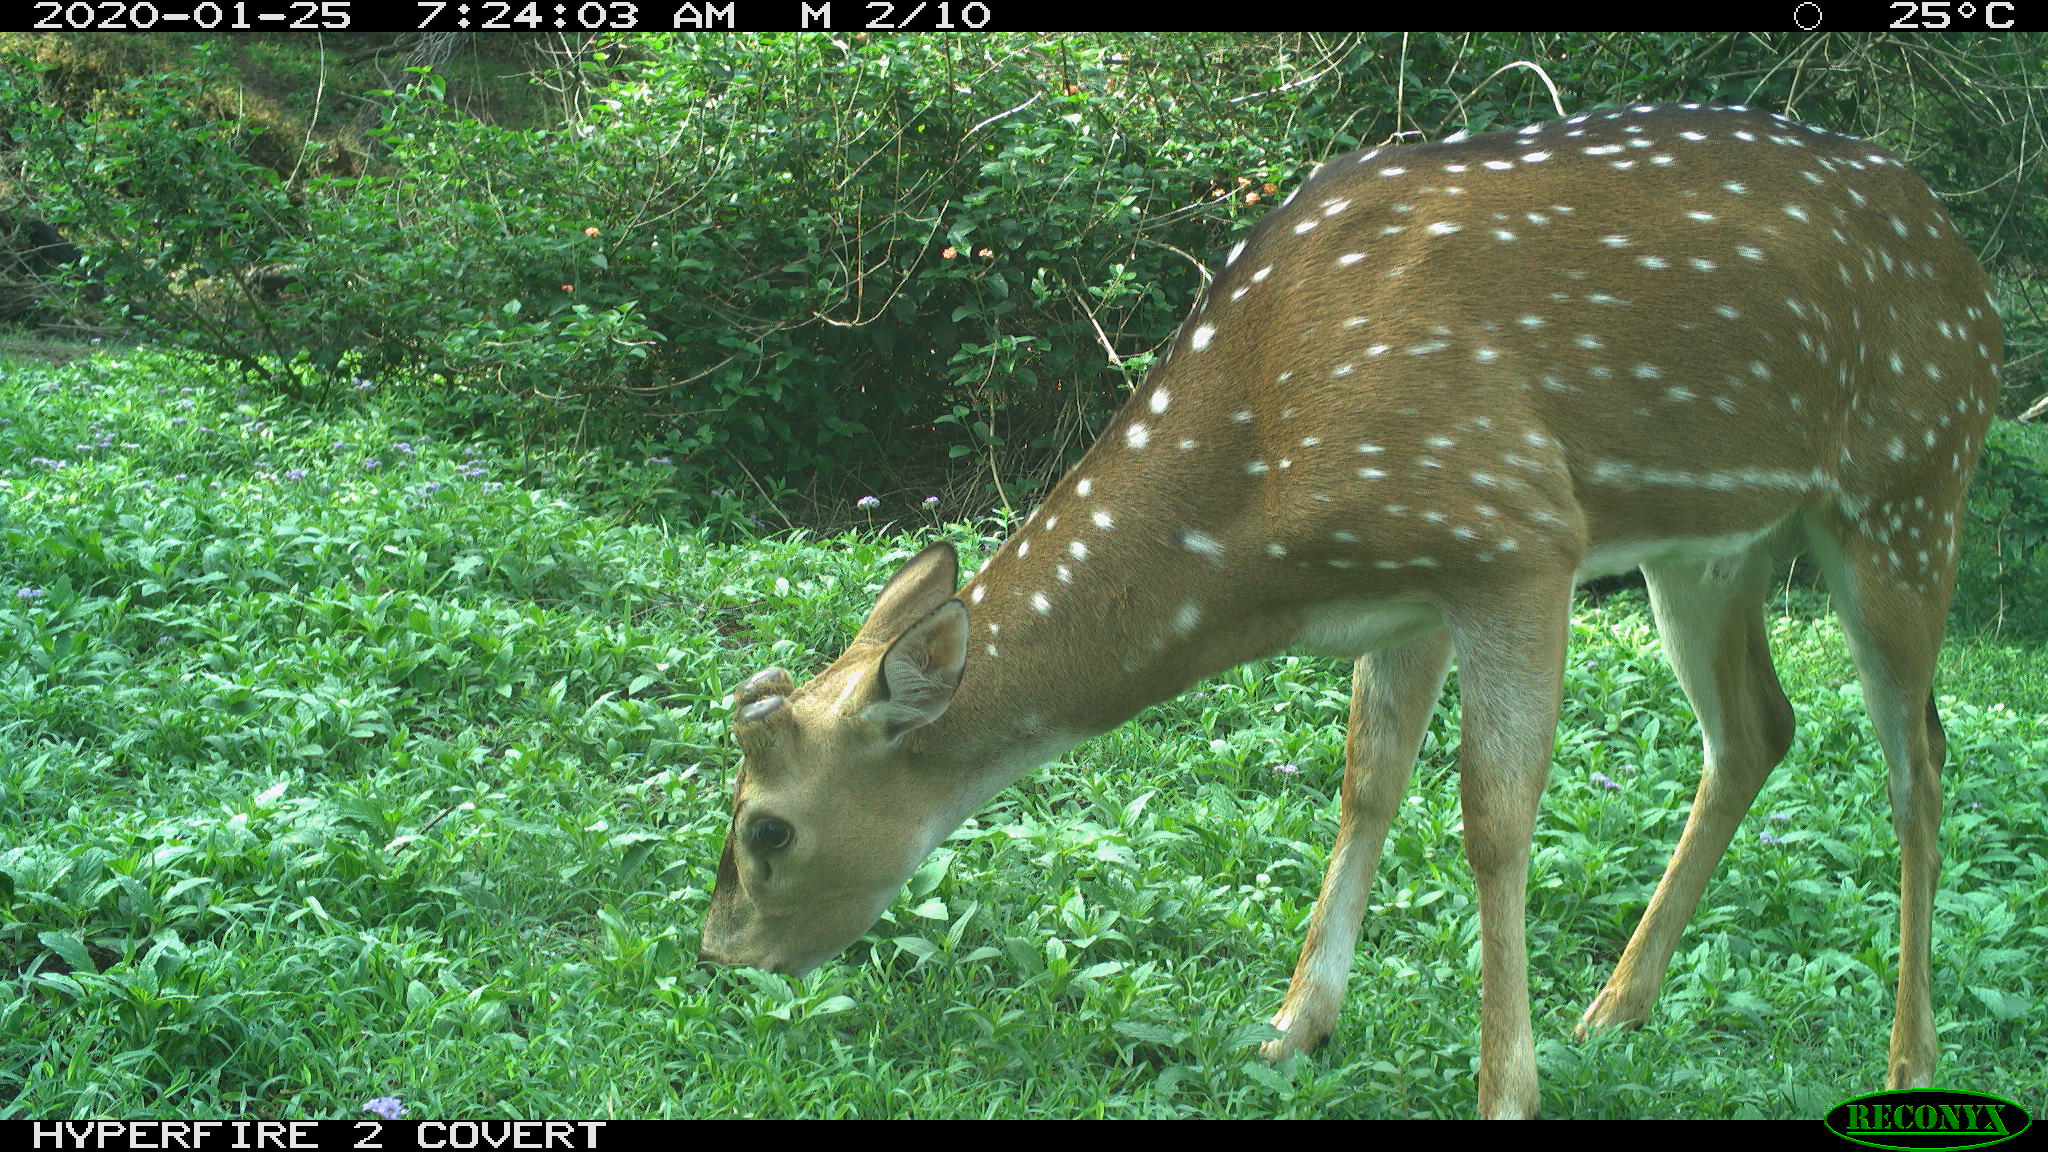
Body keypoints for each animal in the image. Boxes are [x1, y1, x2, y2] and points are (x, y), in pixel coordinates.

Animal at [699, 103, 2002, 1118]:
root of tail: (1969, 272)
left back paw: (1905, 1062)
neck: (1263, 505)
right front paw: (1291, 1027)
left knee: (1918, 761)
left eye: (767, 829)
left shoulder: (1515, 534)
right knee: (1754, 728)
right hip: (1710, 543)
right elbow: (1365, 784)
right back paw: (1613, 1007)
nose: (718, 956)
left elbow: (1491, 821)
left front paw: (1503, 1090)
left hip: (1908, 484)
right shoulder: (1408, 592)